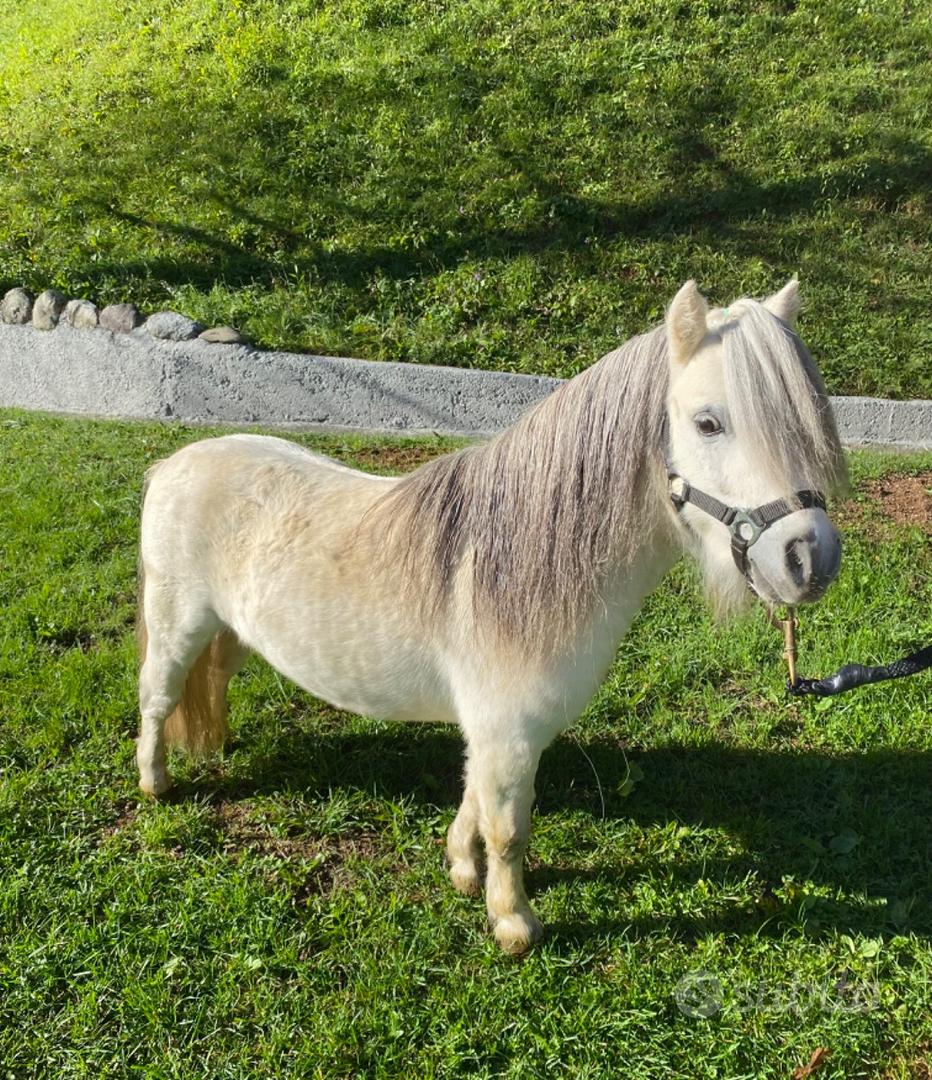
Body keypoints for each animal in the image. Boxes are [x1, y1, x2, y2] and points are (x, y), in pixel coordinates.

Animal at [136, 279, 846, 953]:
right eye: (708, 423)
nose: (811, 559)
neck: (529, 563)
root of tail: (177, 461)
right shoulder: (509, 730)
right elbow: (508, 828)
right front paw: (513, 923)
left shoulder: (496, 729)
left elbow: (475, 798)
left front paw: (460, 868)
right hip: (178, 626)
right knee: (158, 696)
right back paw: (155, 782)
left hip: (232, 632)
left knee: (213, 680)